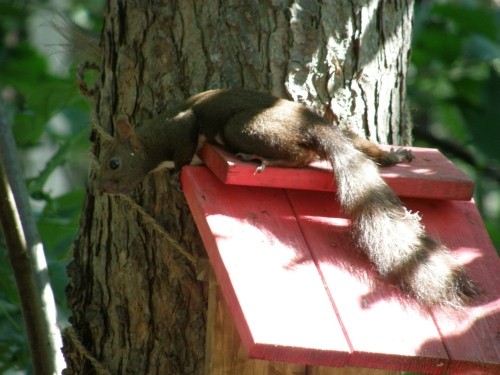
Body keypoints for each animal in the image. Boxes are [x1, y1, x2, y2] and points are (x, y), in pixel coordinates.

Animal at [94, 89, 476, 308]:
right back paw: (393, 155)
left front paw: (178, 174)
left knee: (300, 156)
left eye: (114, 163)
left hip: (244, 128)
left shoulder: (182, 128)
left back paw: (265, 159)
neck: (150, 141)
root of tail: (316, 126)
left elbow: (186, 152)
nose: (101, 187)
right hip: (332, 132)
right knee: (354, 144)